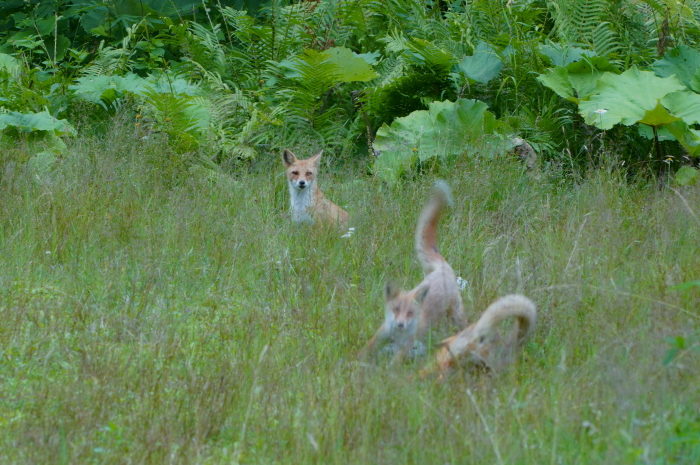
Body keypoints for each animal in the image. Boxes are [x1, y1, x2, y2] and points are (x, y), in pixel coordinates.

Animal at [358, 179, 468, 364]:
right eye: (396, 309)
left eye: (410, 313)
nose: (400, 324)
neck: (398, 335)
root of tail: (442, 267)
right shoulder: (383, 332)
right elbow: (366, 350)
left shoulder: (405, 346)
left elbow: (394, 363)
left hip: (456, 314)